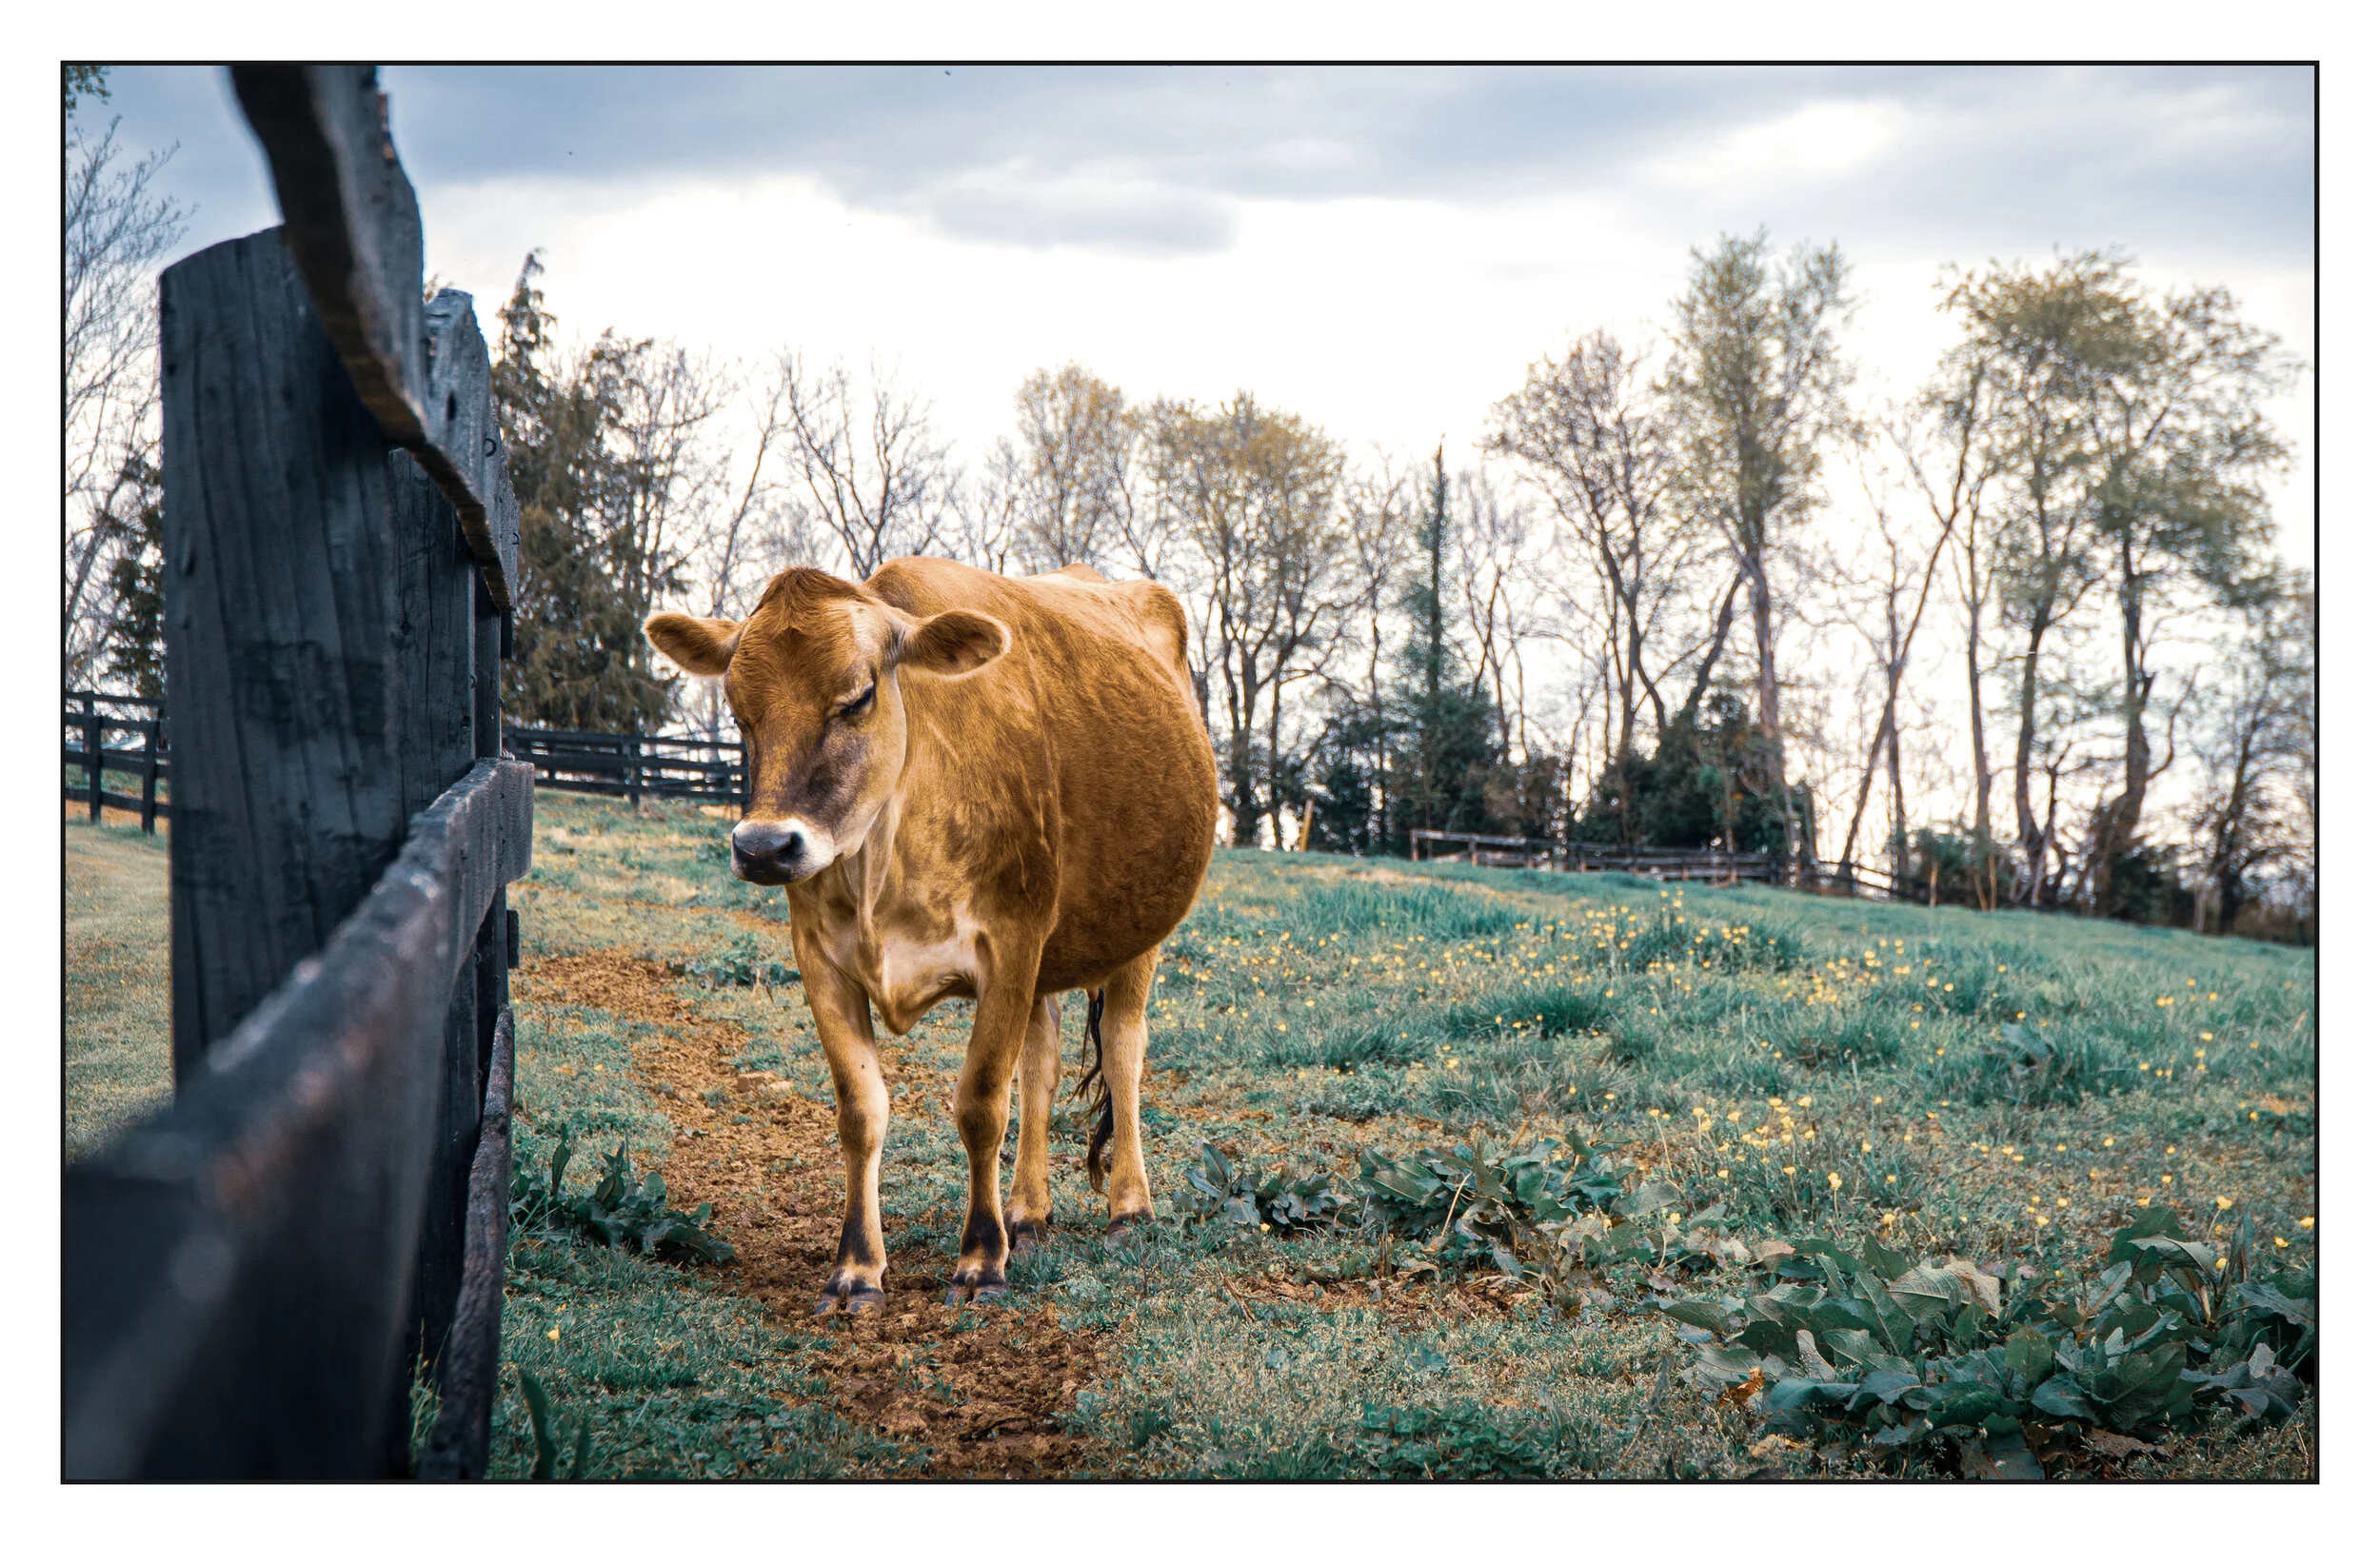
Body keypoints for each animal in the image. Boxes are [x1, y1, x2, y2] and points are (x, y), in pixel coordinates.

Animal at [644, 557, 1218, 1312]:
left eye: (857, 698)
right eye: (739, 710)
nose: (764, 848)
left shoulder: (1010, 943)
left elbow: (981, 1104)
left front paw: (980, 1261)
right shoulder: (821, 957)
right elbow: (861, 1110)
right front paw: (856, 1268)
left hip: (1137, 934)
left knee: (1123, 1048)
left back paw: (1128, 1208)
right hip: (1051, 952)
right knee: (1042, 1060)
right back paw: (1027, 1211)